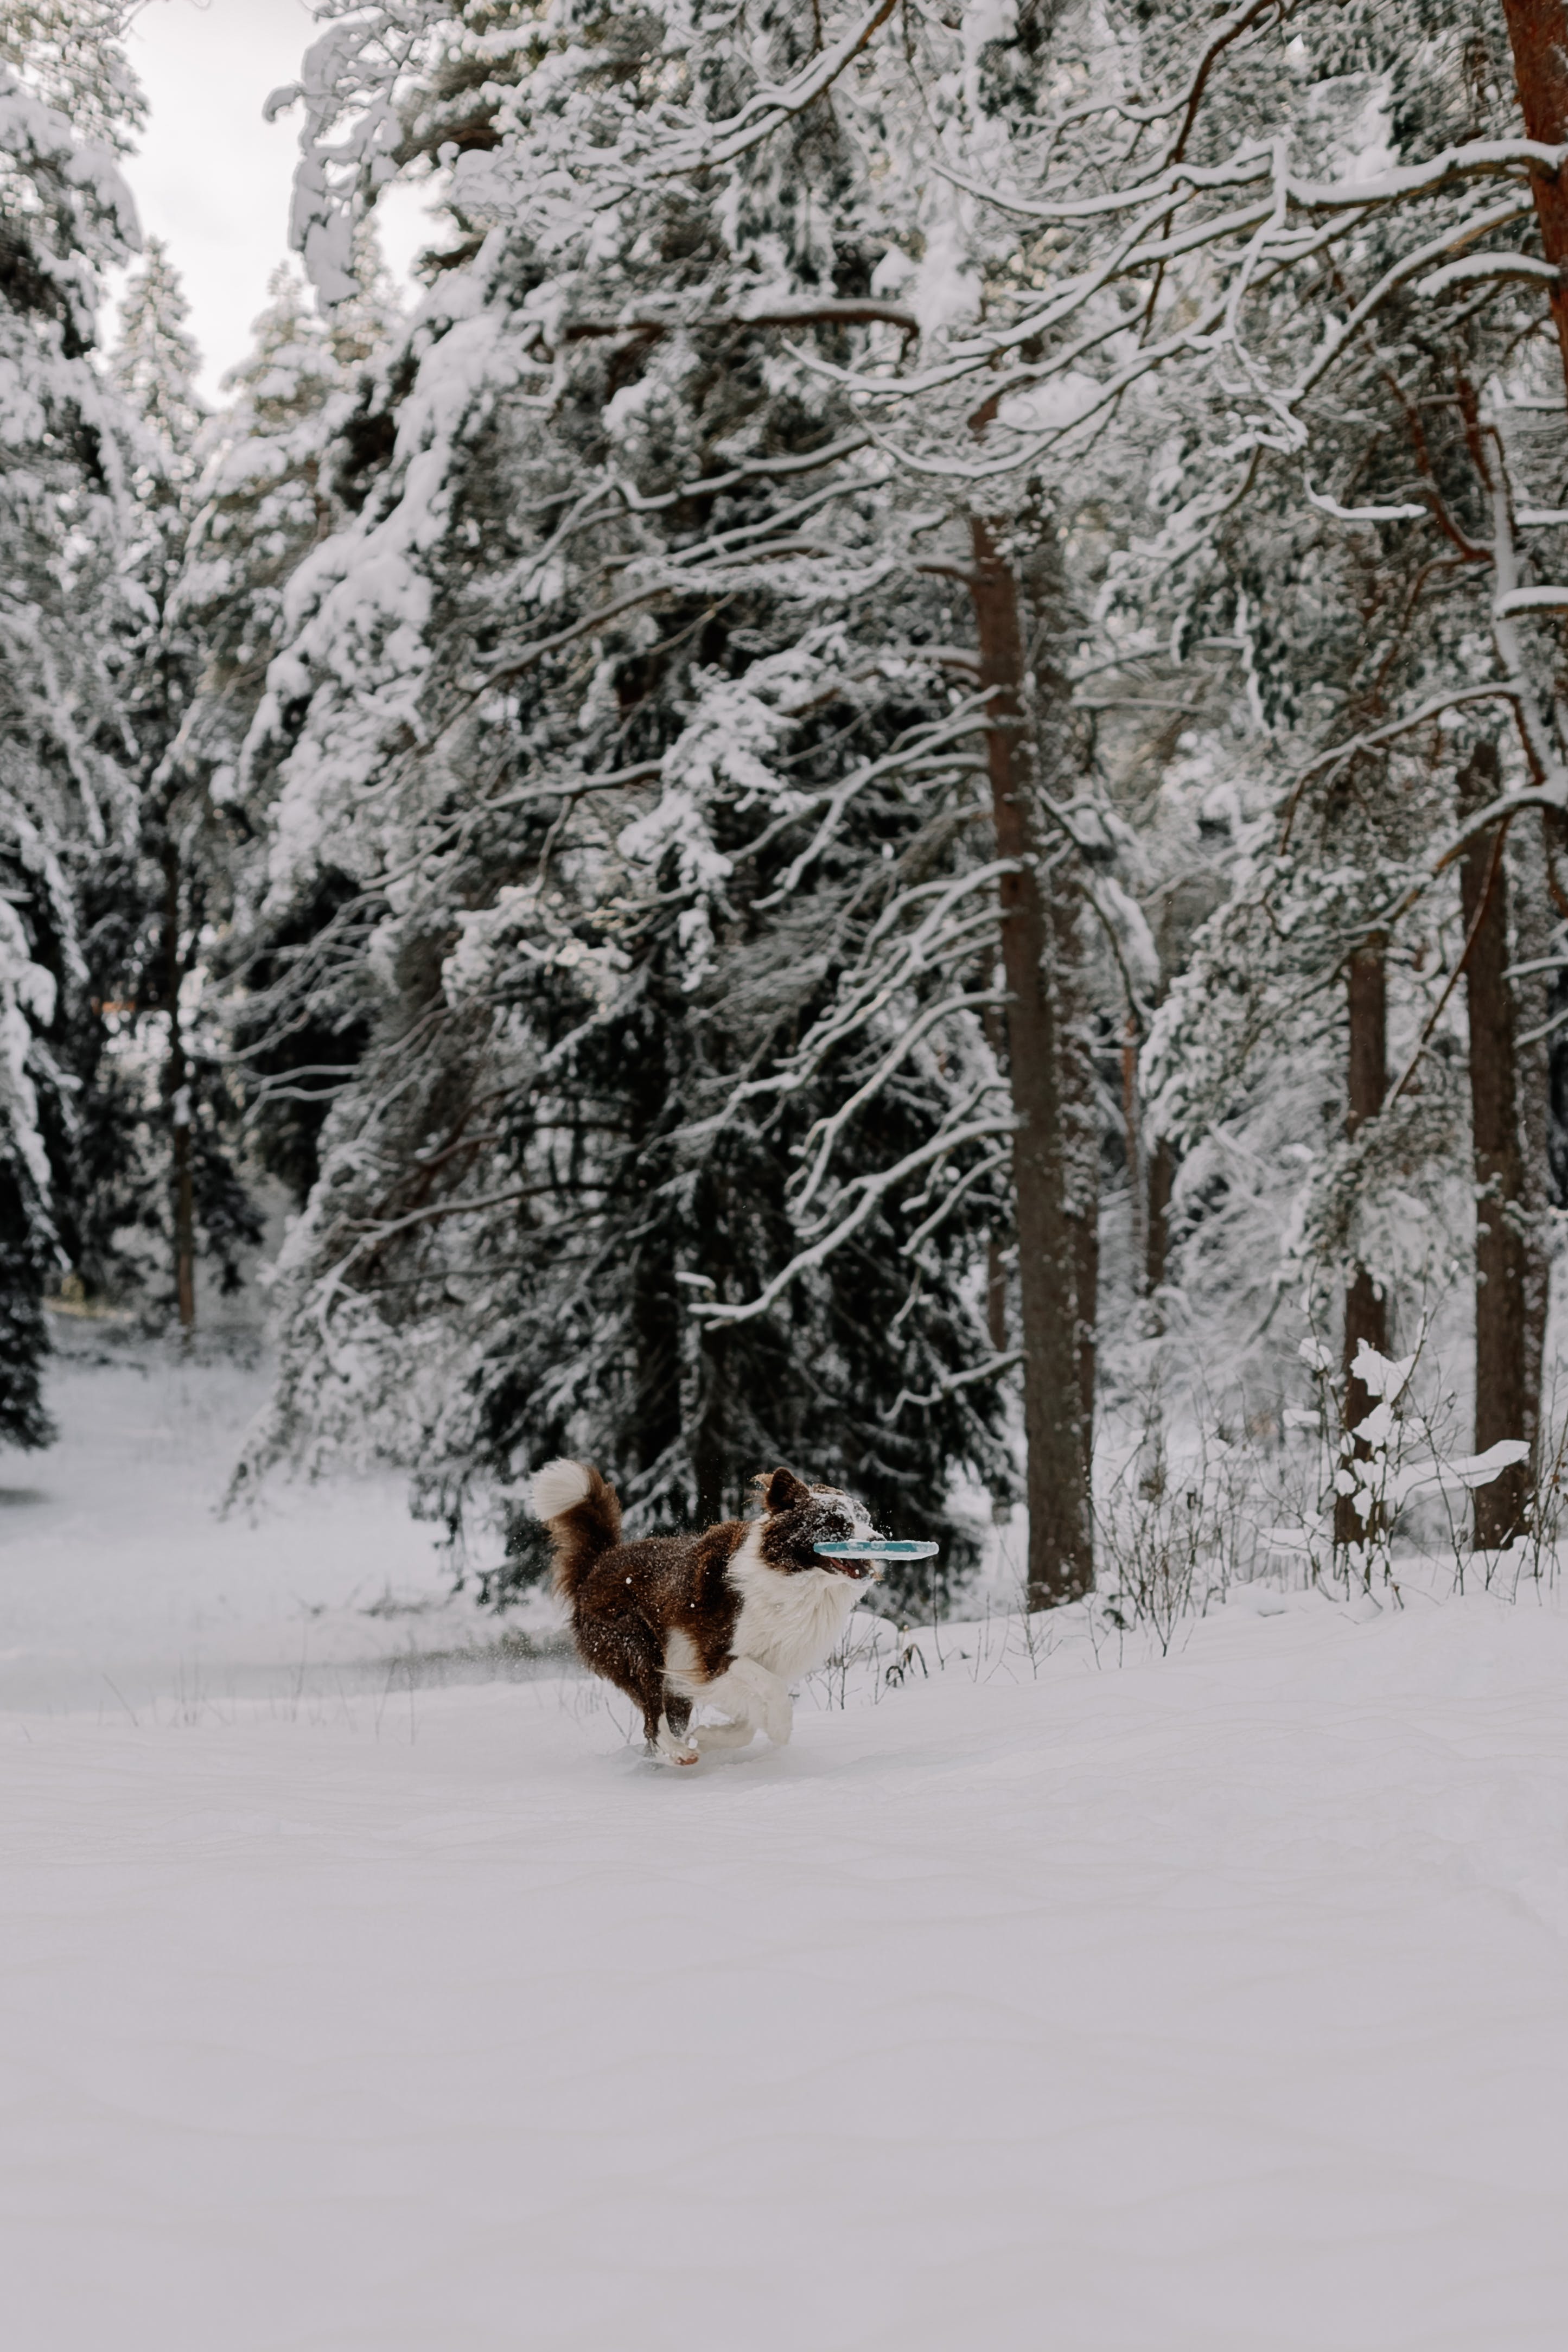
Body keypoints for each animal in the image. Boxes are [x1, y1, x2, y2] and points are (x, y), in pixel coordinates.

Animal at [536, 1449, 884, 1768]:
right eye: (835, 1523)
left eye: (865, 1519)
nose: (879, 1540)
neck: (793, 1580)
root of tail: (599, 1563)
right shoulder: (716, 1657)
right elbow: (773, 1691)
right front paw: (778, 1729)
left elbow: (748, 1721)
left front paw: (711, 1737)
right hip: (637, 1645)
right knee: (652, 1717)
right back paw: (678, 1752)